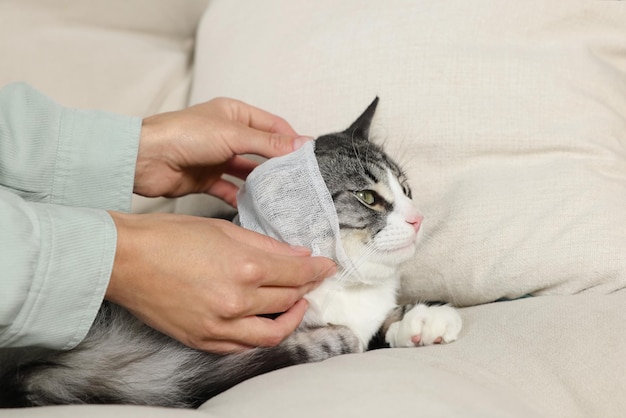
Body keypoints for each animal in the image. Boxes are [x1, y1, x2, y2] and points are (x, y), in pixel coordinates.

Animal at [0, 98, 458, 408]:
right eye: (368, 197)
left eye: (407, 189)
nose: (418, 218)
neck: (345, 288)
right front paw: (339, 336)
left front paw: (423, 318)